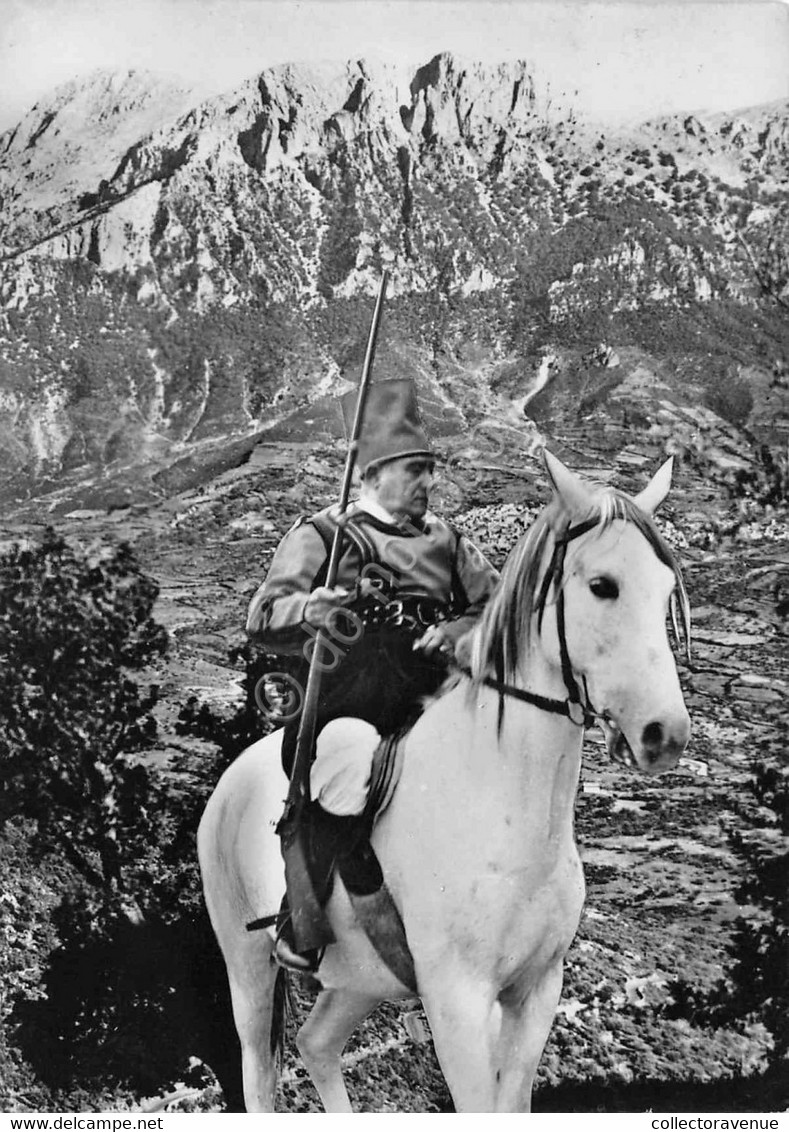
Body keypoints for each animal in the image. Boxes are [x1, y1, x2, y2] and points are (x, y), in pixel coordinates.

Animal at [196, 446, 688, 1109]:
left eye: (665, 589)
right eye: (602, 585)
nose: (666, 734)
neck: (501, 808)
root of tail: (230, 783)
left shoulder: (537, 992)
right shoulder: (459, 1004)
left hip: (359, 981)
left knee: (316, 1044)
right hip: (247, 966)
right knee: (260, 1074)